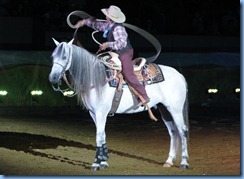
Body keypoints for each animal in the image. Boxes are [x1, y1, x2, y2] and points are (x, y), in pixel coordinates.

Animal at [48, 38, 190, 171]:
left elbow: (99, 136)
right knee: (173, 132)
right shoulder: (93, 113)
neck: (97, 78)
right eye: (53, 56)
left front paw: (96, 164)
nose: (52, 78)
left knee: (182, 131)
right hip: (164, 110)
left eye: (64, 56)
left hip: (175, 109)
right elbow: (103, 135)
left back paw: (184, 163)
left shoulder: (101, 113)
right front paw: (104, 162)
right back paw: (169, 161)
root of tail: (179, 75)